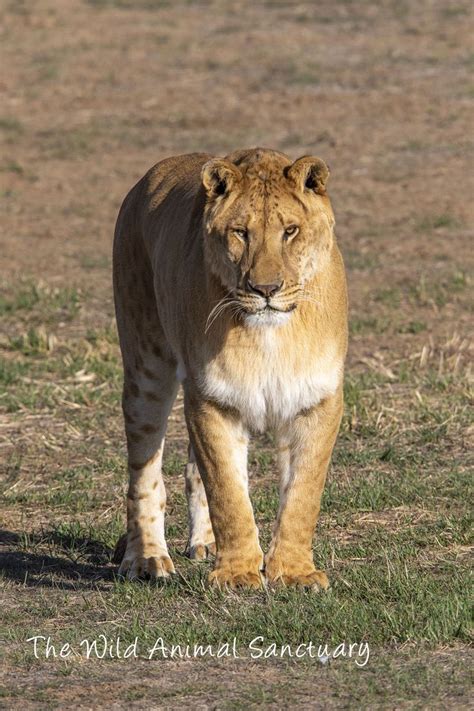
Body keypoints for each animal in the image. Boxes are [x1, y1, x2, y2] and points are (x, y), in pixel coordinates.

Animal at [112, 146, 346, 588]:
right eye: (240, 232)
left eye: (290, 231)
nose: (265, 289)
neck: (271, 335)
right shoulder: (211, 399)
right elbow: (228, 493)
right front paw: (237, 574)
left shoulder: (317, 401)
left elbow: (302, 496)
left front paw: (294, 573)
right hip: (146, 367)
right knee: (144, 475)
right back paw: (146, 558)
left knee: (191, 469)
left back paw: (202, 542)